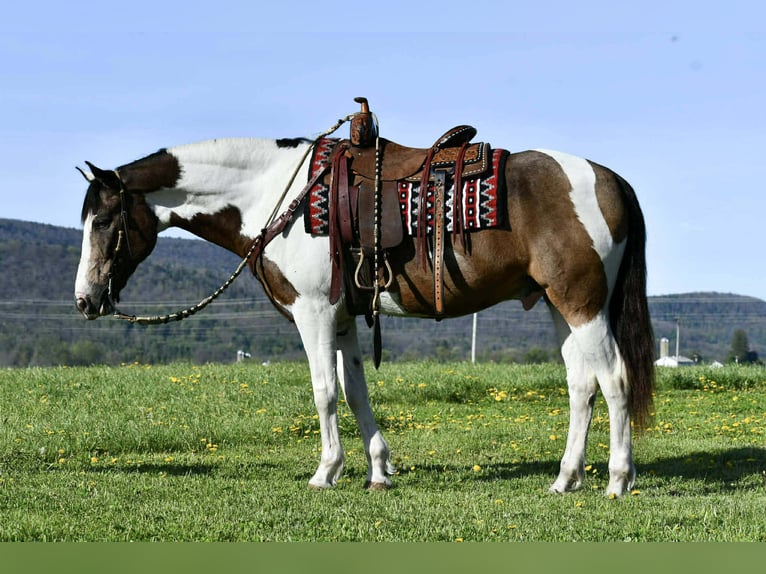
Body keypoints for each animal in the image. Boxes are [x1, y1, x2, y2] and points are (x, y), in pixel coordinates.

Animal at [74, 116, 654, 497]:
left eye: (102, 221)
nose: (86, 300)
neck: (277, 194)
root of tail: (610, 179)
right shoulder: (343, 317)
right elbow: (355, 392)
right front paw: (377, 471)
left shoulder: (312, 313)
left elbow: (324, 393)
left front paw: (325, 471)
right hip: (562, 306)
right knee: (581, 386)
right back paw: (565, 479)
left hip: (582, 305)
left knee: (615, 381)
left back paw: (618, 480)